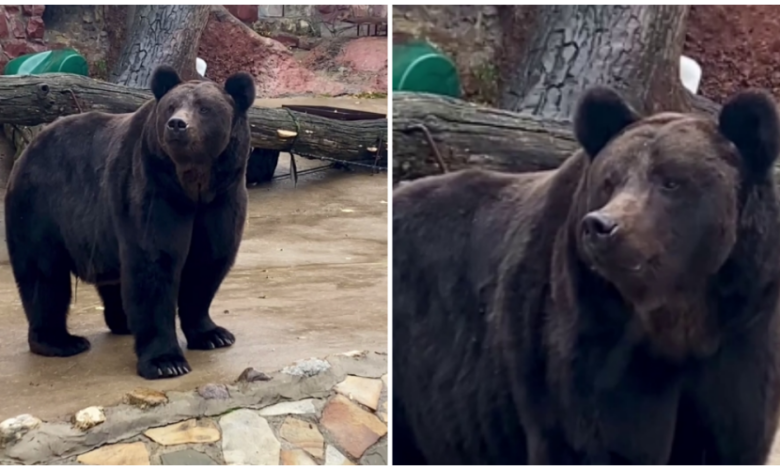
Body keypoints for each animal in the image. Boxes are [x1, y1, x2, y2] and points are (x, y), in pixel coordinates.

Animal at [6, 64, 256, 380]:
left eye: (204, 108)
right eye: (171, 105)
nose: (177, 124)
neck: (193, 185)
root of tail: (27, 151)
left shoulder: (221, 200)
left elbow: (207, 261)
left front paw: (213, 334)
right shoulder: (154, 191)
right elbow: (154, 265)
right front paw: (166, 361)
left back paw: (121, 322)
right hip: (40, 208)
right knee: (44, 276)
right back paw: (61, 341)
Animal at [394, 86, 780, 464]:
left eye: (671, 182)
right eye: (610, 181)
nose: (602, 226)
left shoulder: (740, 339)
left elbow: (730, 436)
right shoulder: (590, 336)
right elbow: (599, 441)